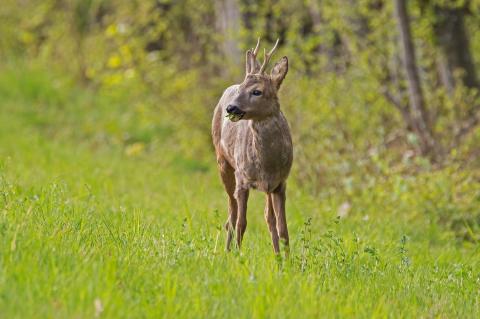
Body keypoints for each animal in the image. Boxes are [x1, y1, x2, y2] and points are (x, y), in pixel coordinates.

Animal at [211, 38, 292, 256]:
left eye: (257, 91)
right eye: (241, 89)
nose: (231, 108)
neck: (267, 164)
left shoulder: (280, 183)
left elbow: (282, 228)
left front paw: (288, 260)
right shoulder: (242, 179)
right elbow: (242, 222)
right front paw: (238, 256)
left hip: (267, 188)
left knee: (267, 217)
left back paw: (276, 255)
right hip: (223, 162)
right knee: (231, 215)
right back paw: (226, 251)